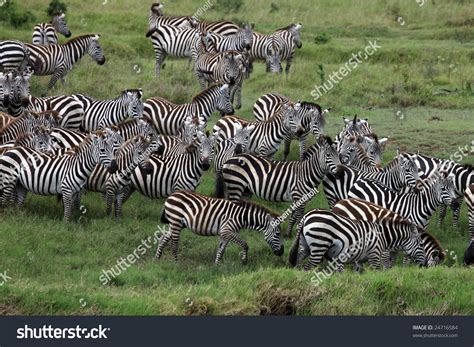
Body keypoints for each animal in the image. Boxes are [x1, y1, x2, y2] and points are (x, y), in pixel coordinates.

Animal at [288, 209, 426, 272]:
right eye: (420, 244)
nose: (424, 265)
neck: (383, 236)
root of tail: (306, 216)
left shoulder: (359, 259)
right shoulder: (374, 254)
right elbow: (377, 271)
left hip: (306, 245)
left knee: (299, 257)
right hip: (319, 245)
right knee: (308, 266)